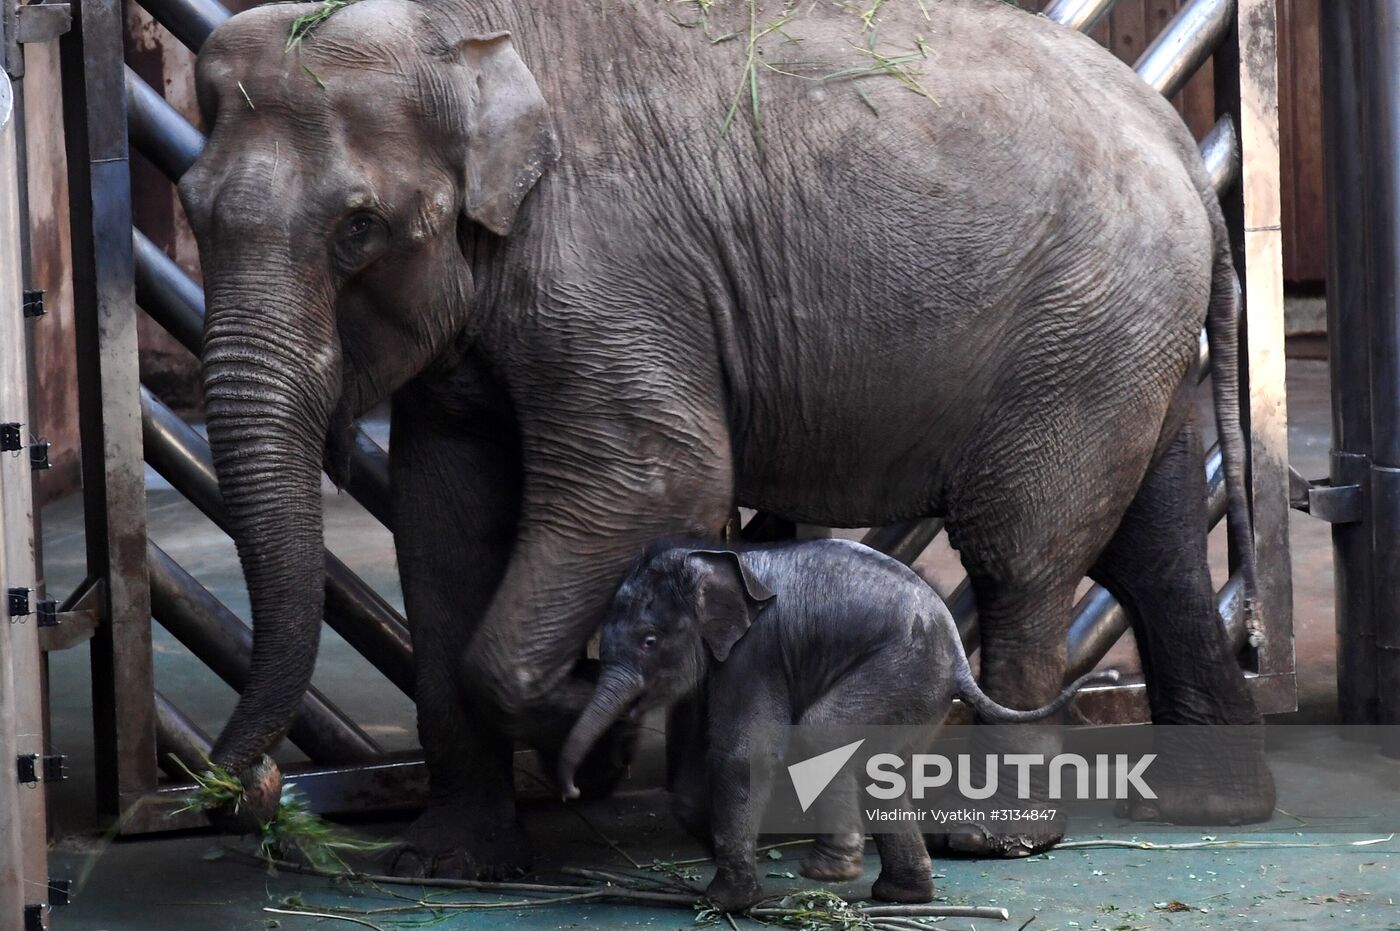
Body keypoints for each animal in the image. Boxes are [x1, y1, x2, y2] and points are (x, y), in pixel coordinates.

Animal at [555, 538, 1120, 911]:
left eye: (649, 641)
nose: (572, 791)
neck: (718, 559)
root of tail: (959, 656)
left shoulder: (756, 652)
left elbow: (744, 753)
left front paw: (723, 902)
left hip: (898, 672)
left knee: (824, 735)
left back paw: (831, 871)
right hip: (918, 694)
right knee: (882, 767)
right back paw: (900, 894)